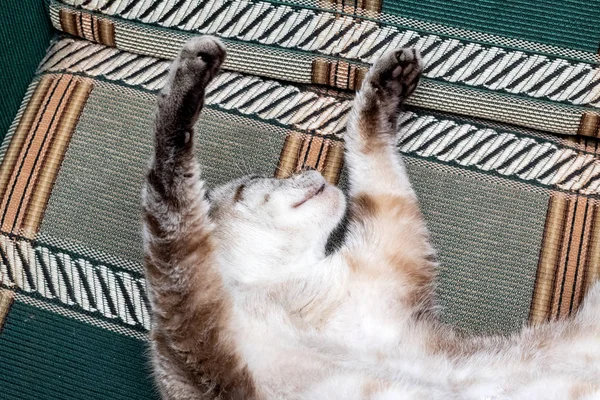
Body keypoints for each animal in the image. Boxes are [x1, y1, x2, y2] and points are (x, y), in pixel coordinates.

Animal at [142, 36, 600, 398]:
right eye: (259, 178)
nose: (310, 167)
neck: (289, 284)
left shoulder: (390, 233)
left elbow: (367, 143)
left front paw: (388, 82)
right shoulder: (188, 315)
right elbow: (168, 185)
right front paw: (190, 70)